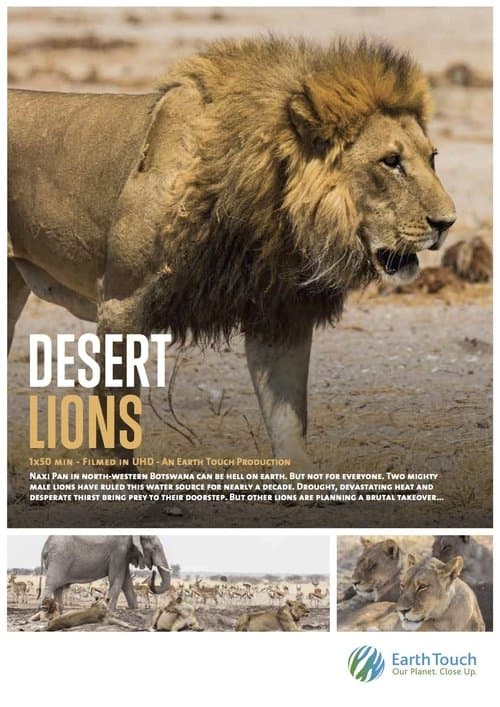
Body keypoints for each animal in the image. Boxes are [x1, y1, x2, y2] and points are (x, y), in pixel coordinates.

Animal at [8, 38, 455, 474]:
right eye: (391, 162)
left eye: (432, 158)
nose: (447, 222)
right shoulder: (122, 302)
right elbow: (115, 423)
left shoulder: (279, 313)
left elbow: (288, 422)